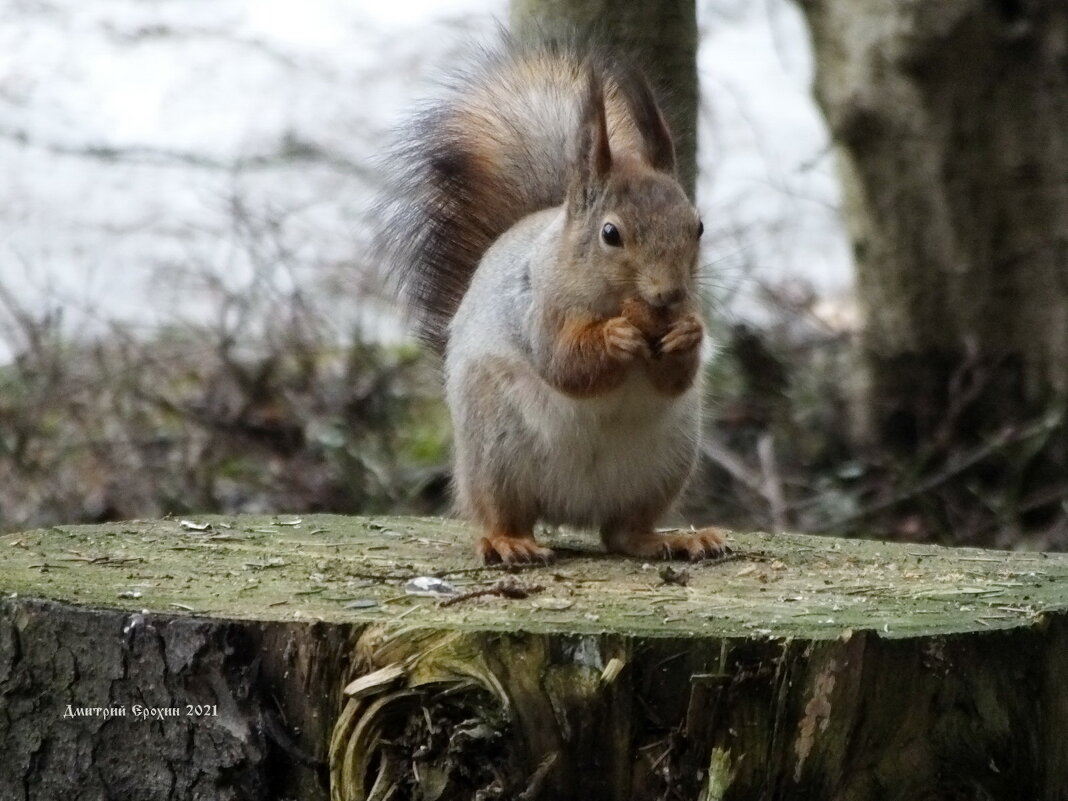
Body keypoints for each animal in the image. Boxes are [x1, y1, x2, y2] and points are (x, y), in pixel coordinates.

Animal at [371, 36, 730, 563]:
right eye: (610, 234)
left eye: (698, 226)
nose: (668, 295)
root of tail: (573, 508)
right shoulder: (538, 308)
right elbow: (566, 364)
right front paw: (616, 336)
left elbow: (675, 378)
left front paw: (688, 335)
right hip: (495, 450)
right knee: (504, 513)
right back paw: (509, 543)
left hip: (666, 464)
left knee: (623, 533)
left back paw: (677, 538)